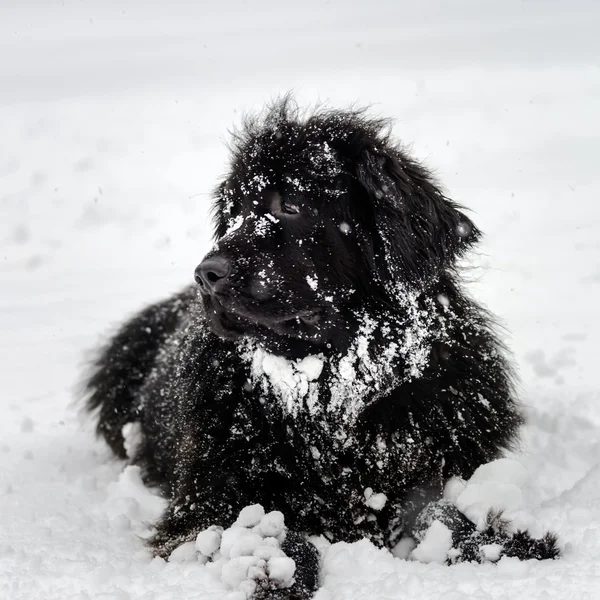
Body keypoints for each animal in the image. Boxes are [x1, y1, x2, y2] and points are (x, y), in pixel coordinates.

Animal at [86, 101, 560, 596]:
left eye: (292, 206)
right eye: (234, 213)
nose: (206, 273)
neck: (331, 389)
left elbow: (438, 509)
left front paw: (503, 546)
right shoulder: (205, 503)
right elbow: (265, 531)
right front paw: (276, 575)